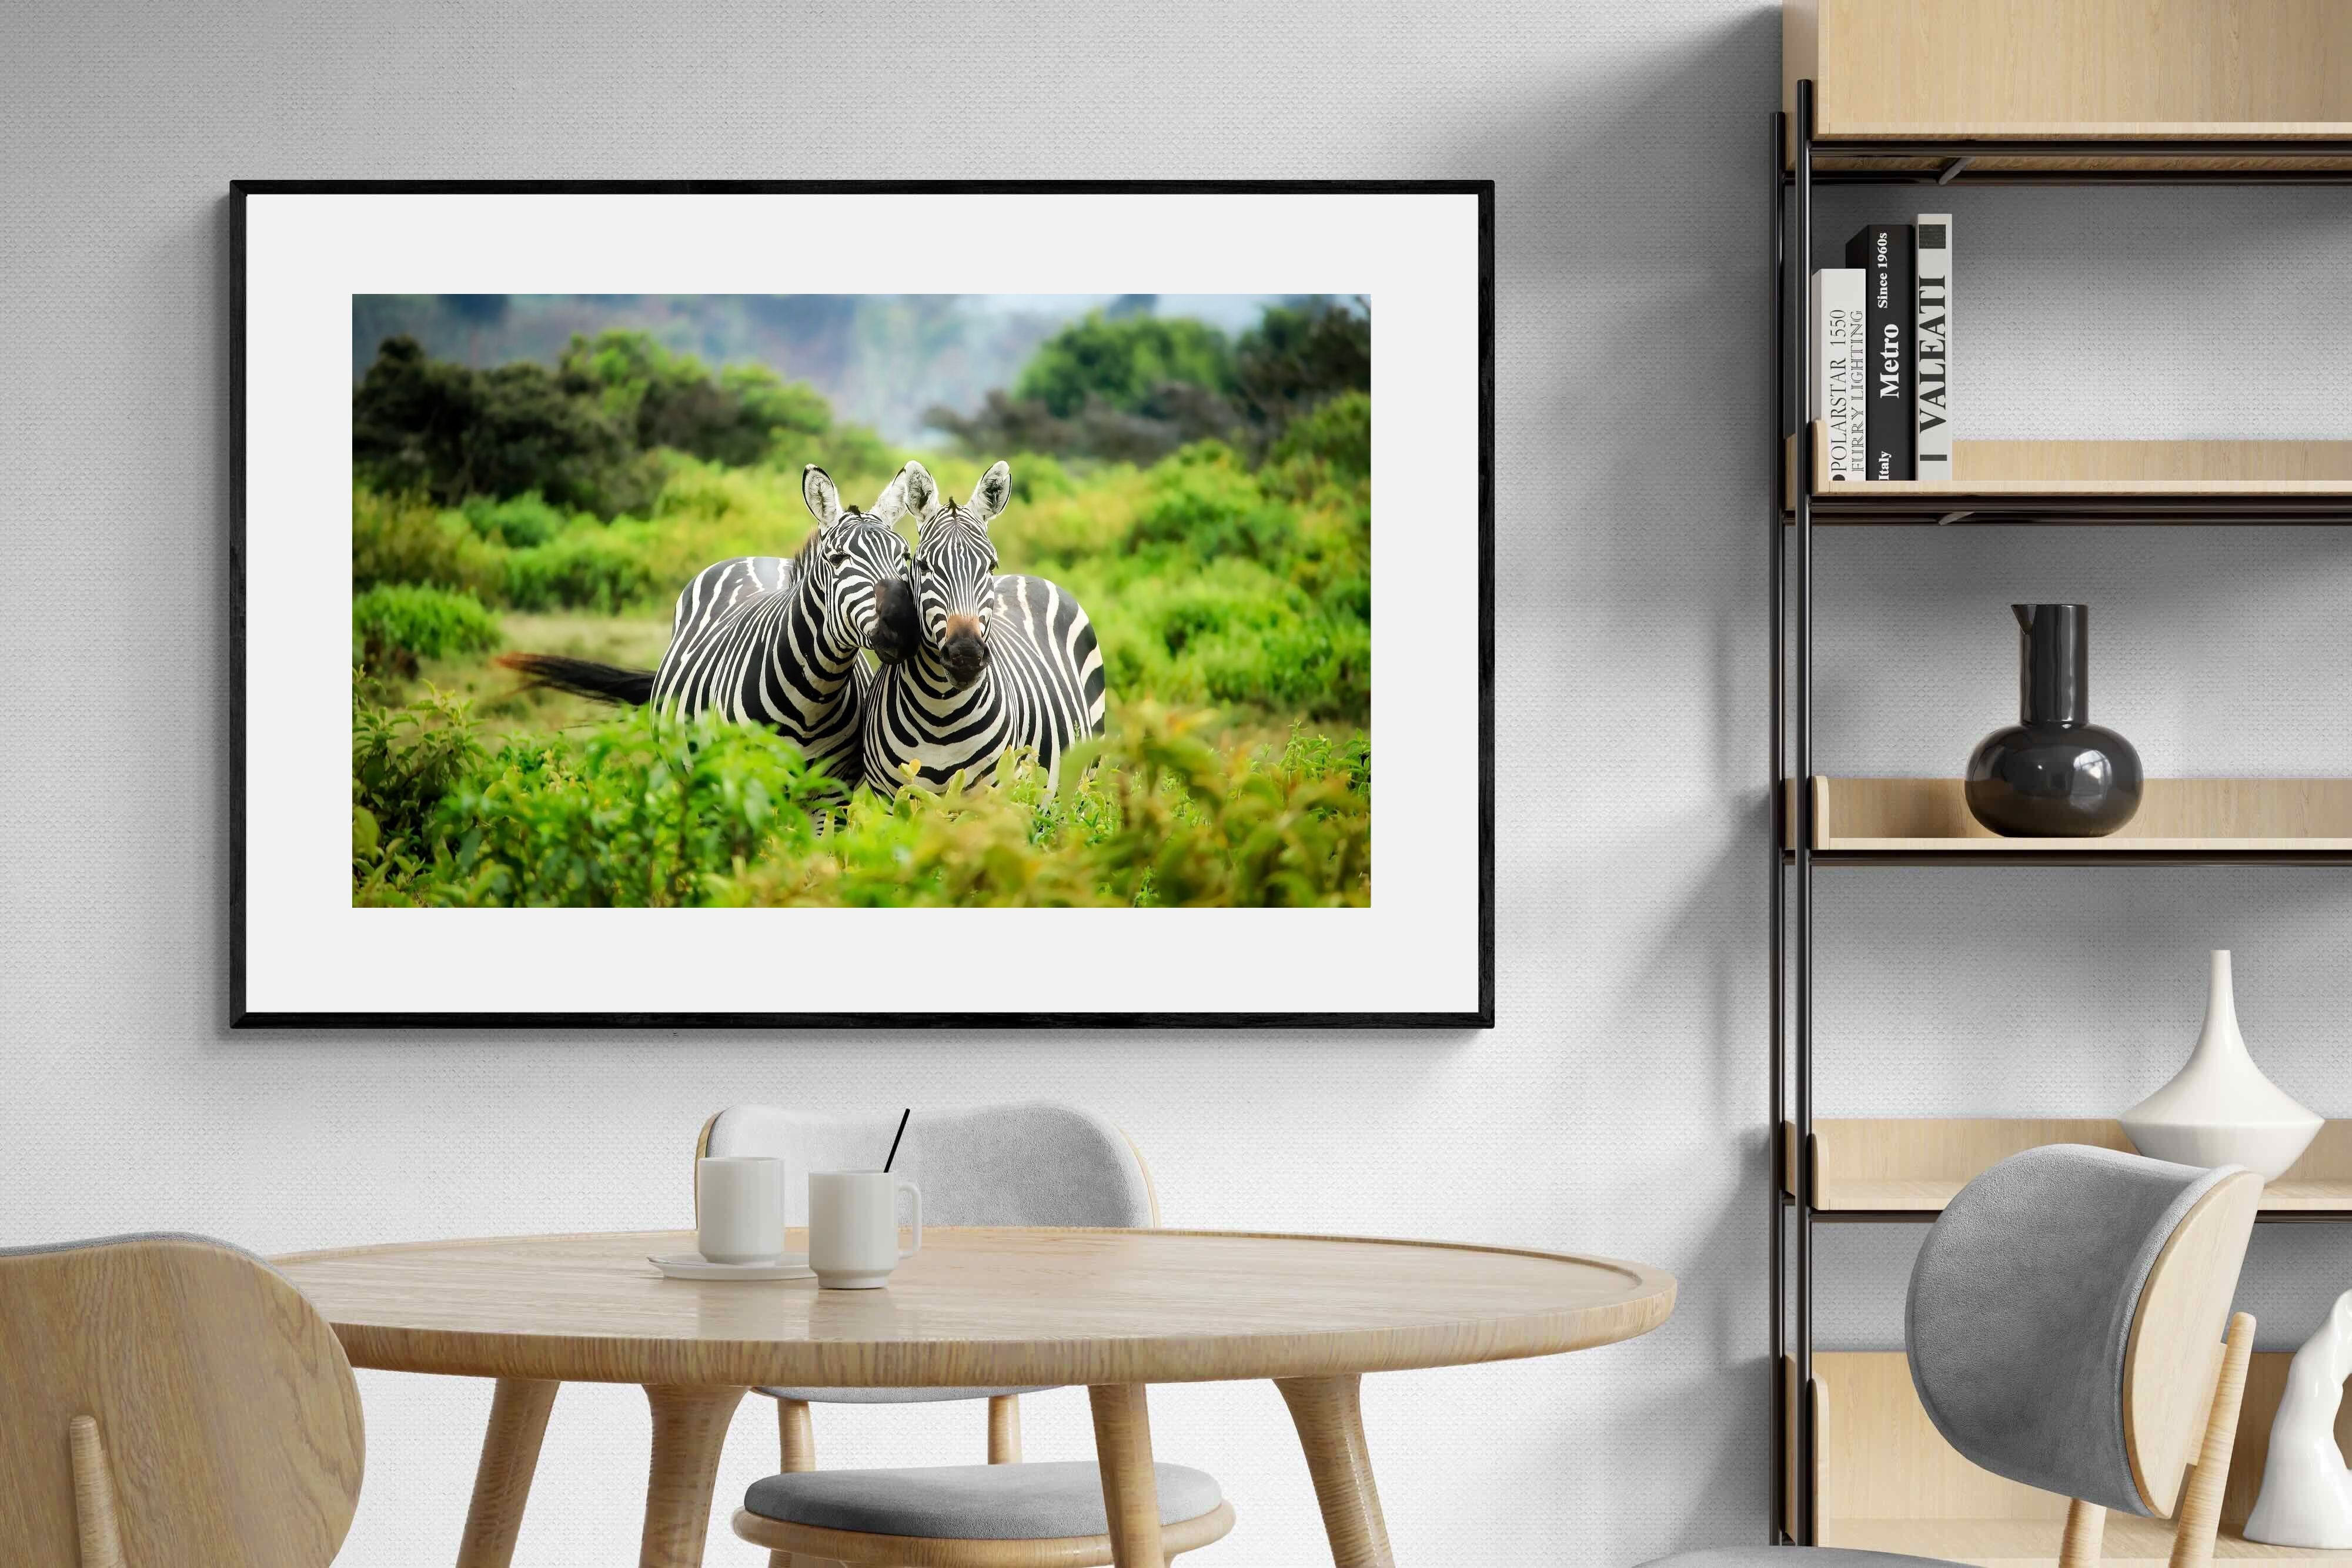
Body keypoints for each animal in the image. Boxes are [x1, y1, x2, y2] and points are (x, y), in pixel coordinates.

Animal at [498, 465, 918, 794]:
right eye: (838, 558)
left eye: (905, 556)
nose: (902, 625)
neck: (814, 697)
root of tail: (755, 558)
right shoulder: (745, 783)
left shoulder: (831, 794)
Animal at [860, 459, 1109, 793]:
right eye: (923, 566)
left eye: (991, 565)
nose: (966, 656)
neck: (940, 714)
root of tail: (1028, 577)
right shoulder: (894, 797)